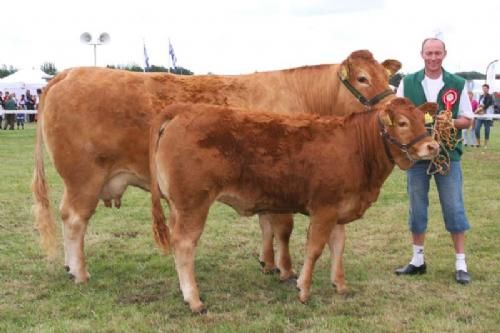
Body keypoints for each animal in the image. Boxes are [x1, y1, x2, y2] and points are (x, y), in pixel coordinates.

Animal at [32, 49, 402, 288]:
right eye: (363, 78)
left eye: (390, 78)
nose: (391, 106)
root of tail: (70, 72)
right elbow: (283, 228)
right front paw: (285, 270)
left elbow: (267, 226)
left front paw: (267, 263)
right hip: (84, 179)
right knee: (74, 219)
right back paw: (79, 273)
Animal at [150, 100, 440, 312]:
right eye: (402, 123)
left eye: (424, 121)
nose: (433, 146)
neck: (356, 148)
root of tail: (183, 109)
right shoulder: (324, 208)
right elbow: (315, 249)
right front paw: (303, 289)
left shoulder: (339, 210)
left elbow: (338, 247)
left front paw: (340, 285)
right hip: (193, 204)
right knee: (184, 245)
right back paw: (195, 300)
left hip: (178, 206)